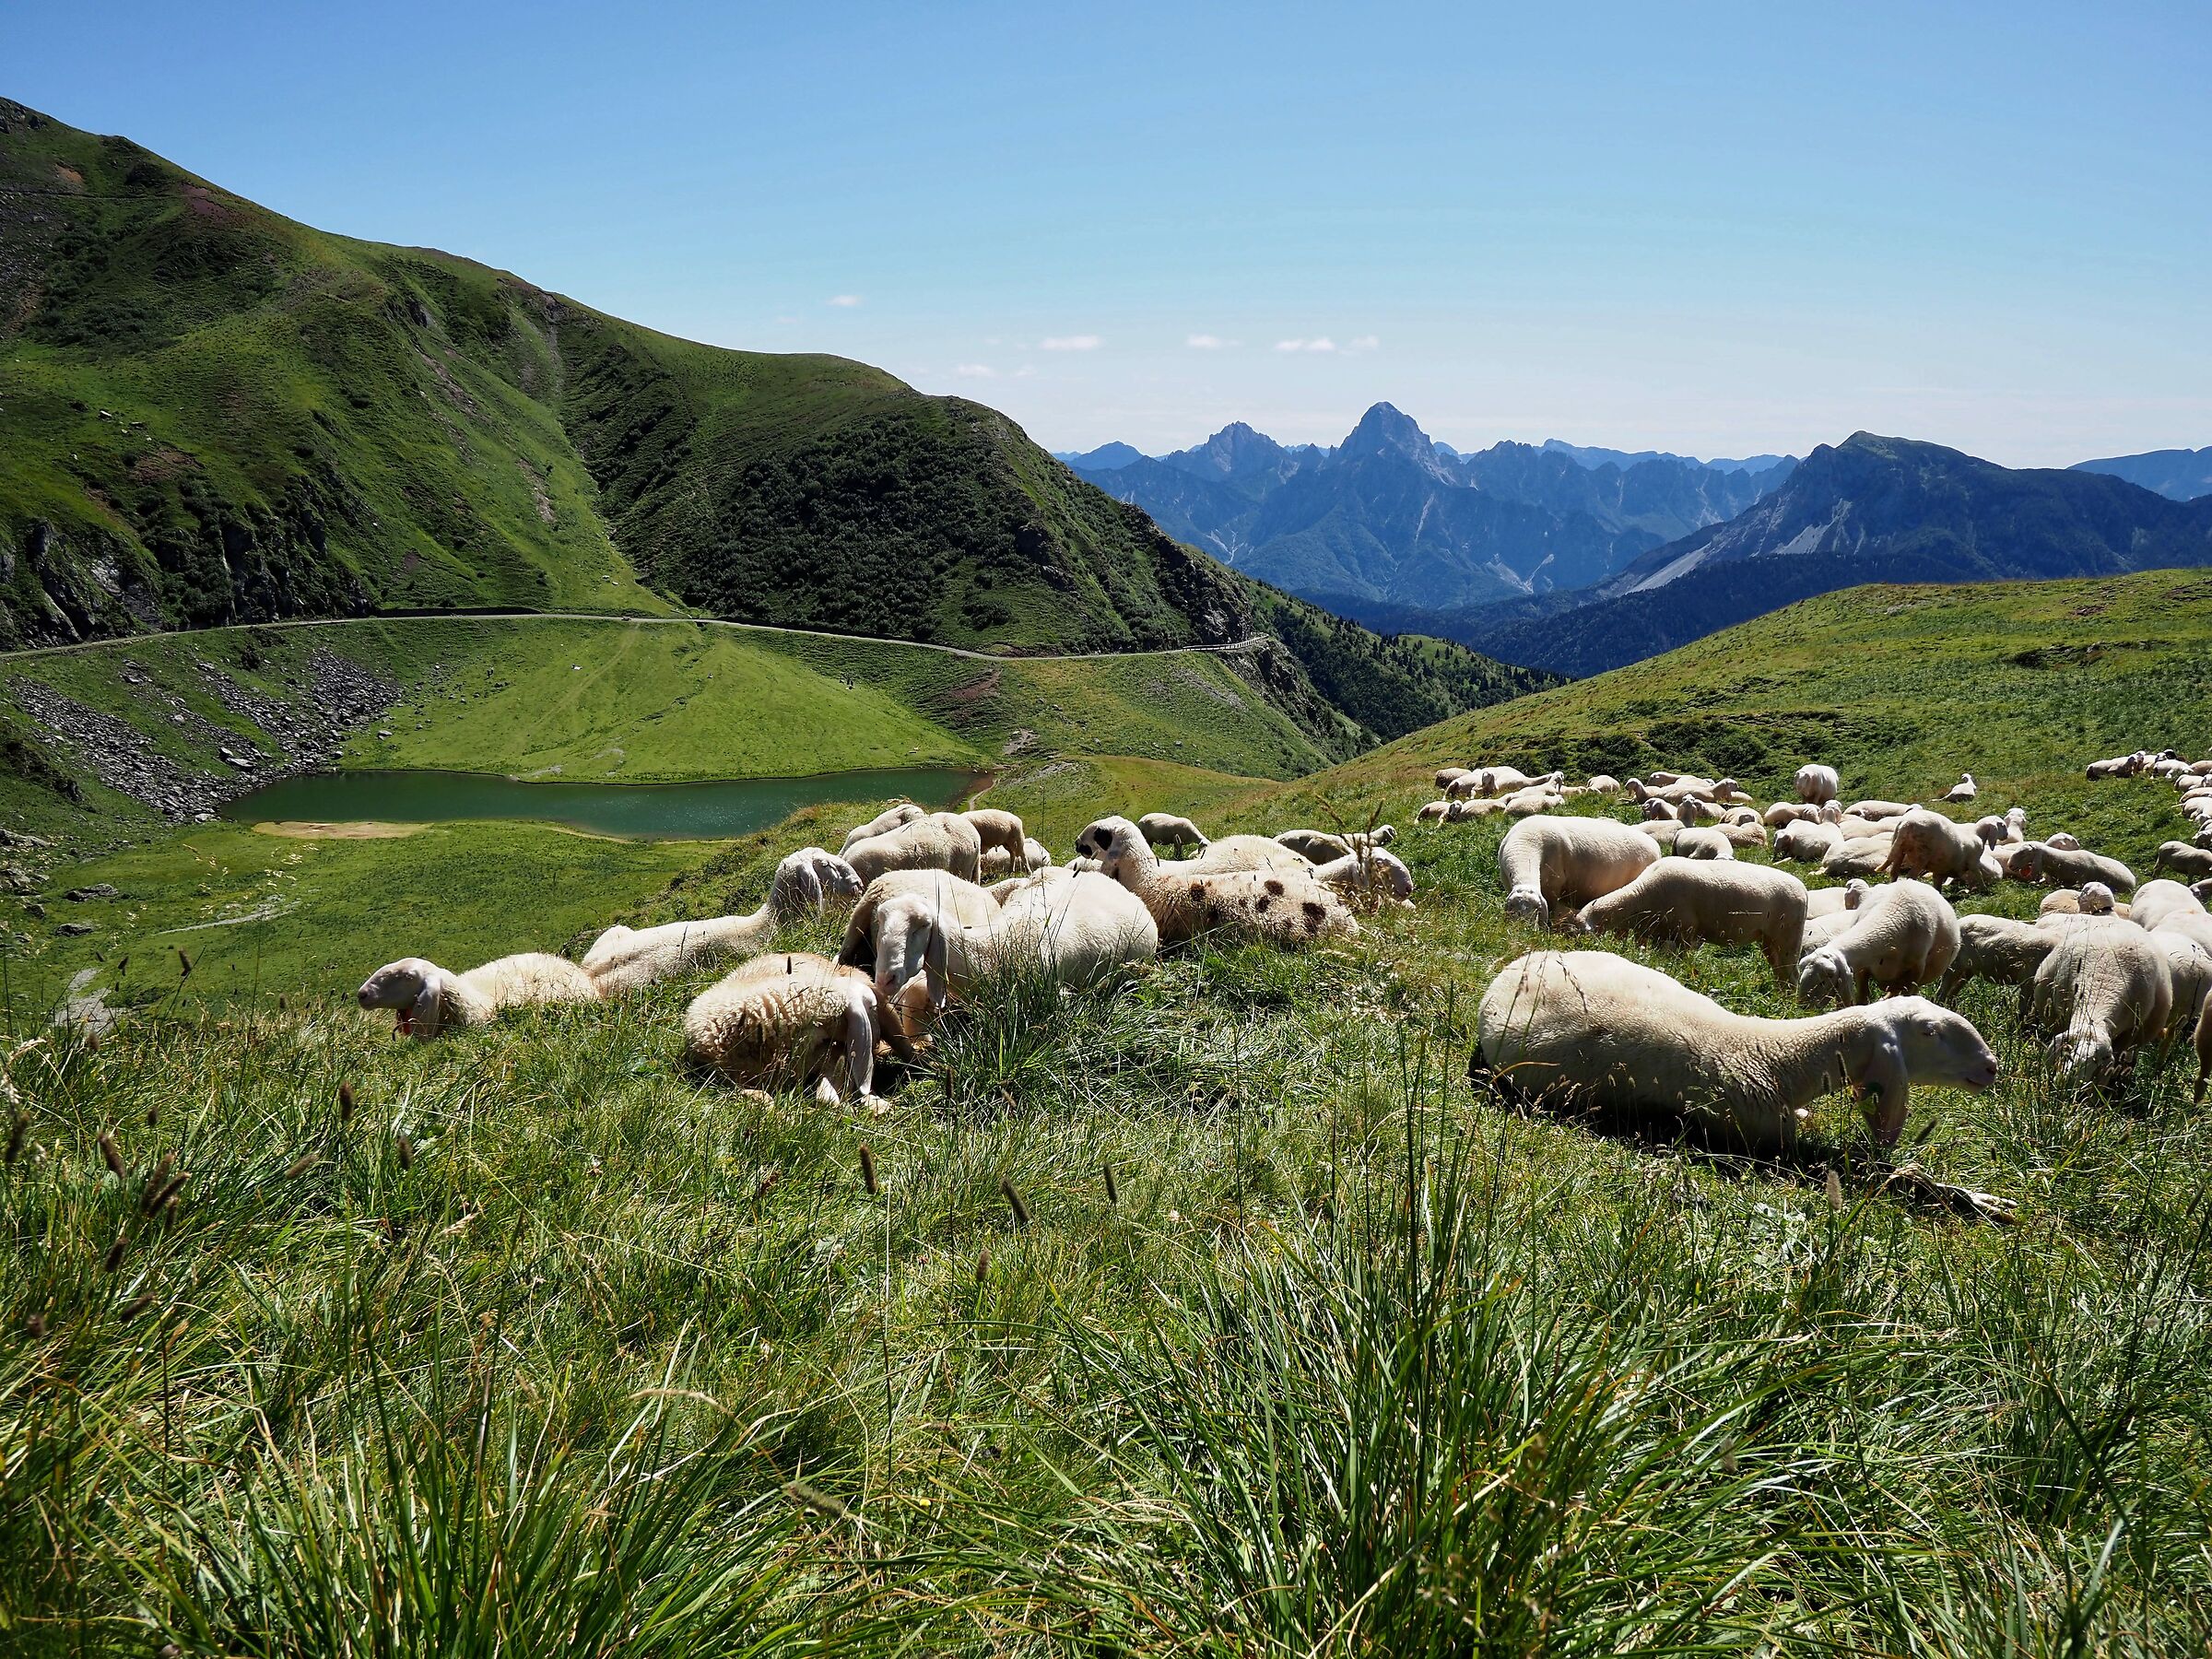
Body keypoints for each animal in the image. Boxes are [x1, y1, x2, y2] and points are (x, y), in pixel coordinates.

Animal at [1498, 815, 1661, 927]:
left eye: (1537, 910)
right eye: (1513, 910)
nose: (1523, 931)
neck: (1526, 844)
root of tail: (1655, 845)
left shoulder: (1553, 887)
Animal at [1572, 859, 1808, 979]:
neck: (1639, 897)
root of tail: (1803, 890)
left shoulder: (1685, 930)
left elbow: (1681, 960)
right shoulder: (1660, 934)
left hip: (1789, 937)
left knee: (1792, 972)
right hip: (1770, 940)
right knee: (1780, 970)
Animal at [1882, 808, 2000, 892]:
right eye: (2002, 825)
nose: (2005, 835)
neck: (1977, 834)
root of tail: (1905, 824)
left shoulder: (1941, 868)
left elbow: (1937, 881)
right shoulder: (1973, 861)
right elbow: (1977, 874)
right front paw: (1983, 889)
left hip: (1899, 848)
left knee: (1894, 872)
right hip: (1922, 854)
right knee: (1911, 876)